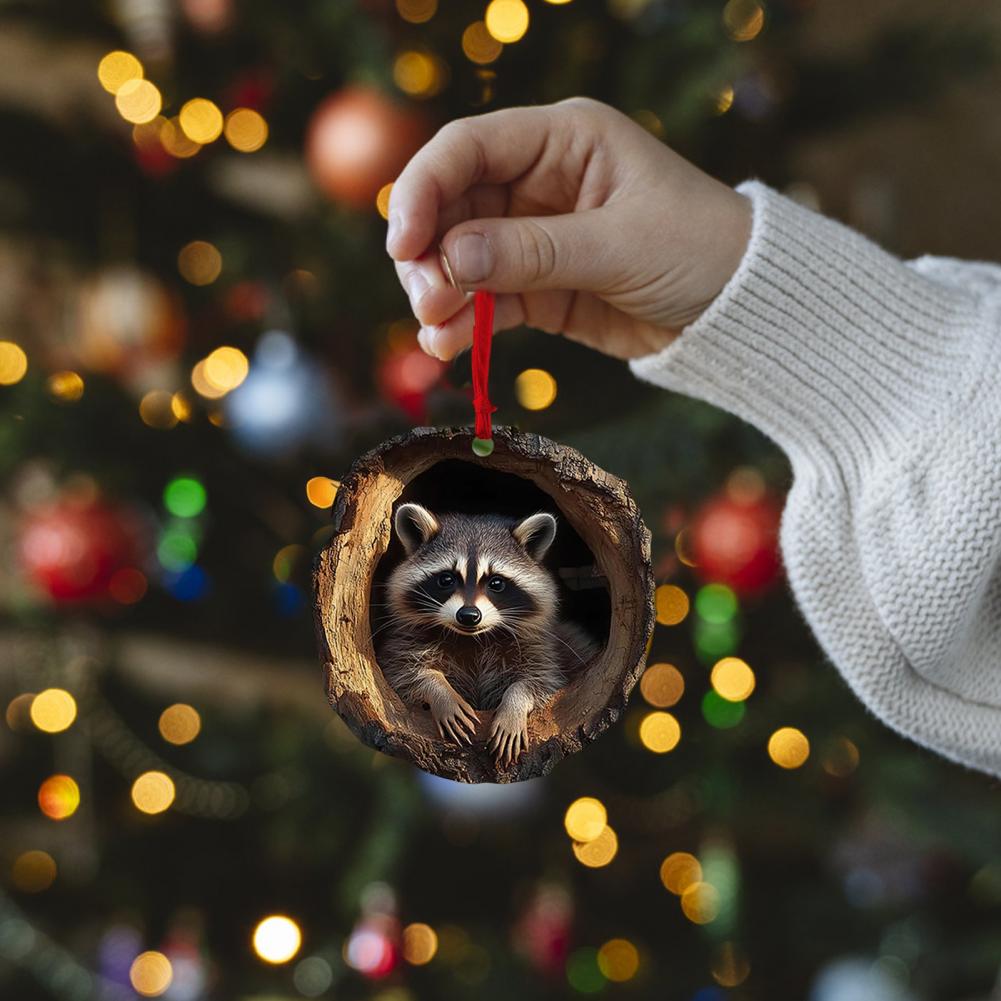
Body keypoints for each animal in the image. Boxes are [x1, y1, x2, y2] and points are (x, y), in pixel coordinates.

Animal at [374, 500, 592, 764]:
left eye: (496, 583)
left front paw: (514, 705)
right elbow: (402, 672)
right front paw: (440, 691)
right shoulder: (406, 640)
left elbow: (540, 681)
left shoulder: (540, 647)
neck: (473, 638)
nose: (469, 616)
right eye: (446, 579)